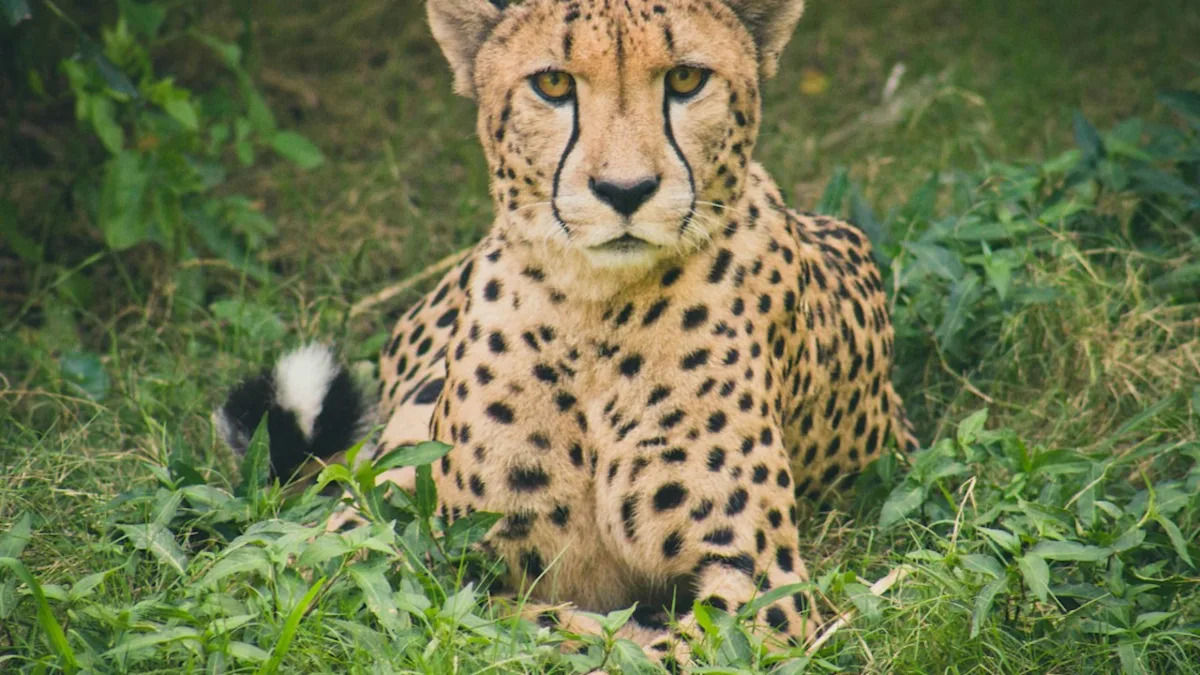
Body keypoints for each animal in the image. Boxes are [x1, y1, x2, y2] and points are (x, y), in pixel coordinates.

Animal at [217, 0, 918, 661]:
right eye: (553, 83)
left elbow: (647, 646)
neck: (595, 313)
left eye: (686, 78)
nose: (625, 190)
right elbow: (479, 610)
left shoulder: (763, 584)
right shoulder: (426, 549)